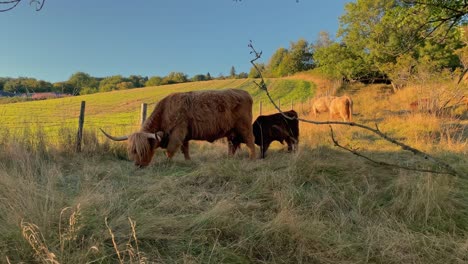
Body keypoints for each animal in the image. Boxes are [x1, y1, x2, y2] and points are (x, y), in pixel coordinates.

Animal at [101, 88, 256, 167]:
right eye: (132, 151)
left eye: (144, 149)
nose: (138, 165)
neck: (165, 112)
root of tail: (245, 92)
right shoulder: (185, 135)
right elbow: (185, 149)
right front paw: (188, 161)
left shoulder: (178, 132)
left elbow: (171, 150)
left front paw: (167, 162)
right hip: (231, 132)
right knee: (232, 145)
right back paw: (229, 159)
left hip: (244, 126)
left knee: (250, 141)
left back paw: (251, 159)